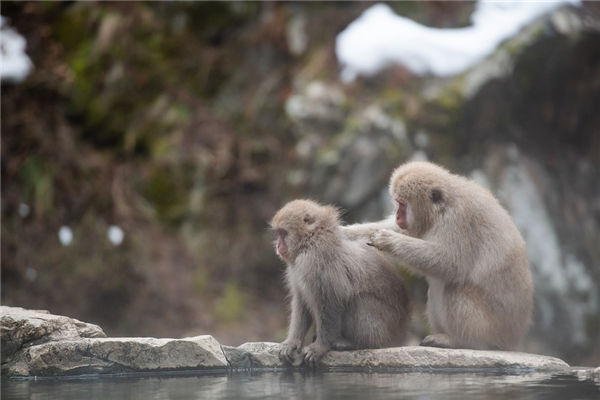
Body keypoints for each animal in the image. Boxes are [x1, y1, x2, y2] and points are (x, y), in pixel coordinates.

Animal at [274, 202, 410, 368]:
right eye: (279, 233)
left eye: (283, 233)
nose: (278, 246)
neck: (311, 240)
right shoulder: (297, 267)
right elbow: (302, 302)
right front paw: (292, 343)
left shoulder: (314, 262)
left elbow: (330, 301)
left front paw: (320, 347)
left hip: (387, 329)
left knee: (360, 300)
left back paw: (357, 344)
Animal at [344, 160, 532, 350]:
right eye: (397, 203)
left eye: (402, 204)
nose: (397, 216)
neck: (442, 209)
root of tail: (514, 339)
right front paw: (346, 232)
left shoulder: (458, 219)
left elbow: (450, 263)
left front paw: (388, 240)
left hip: (491, 330)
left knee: (454, 287)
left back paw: (457, 341)